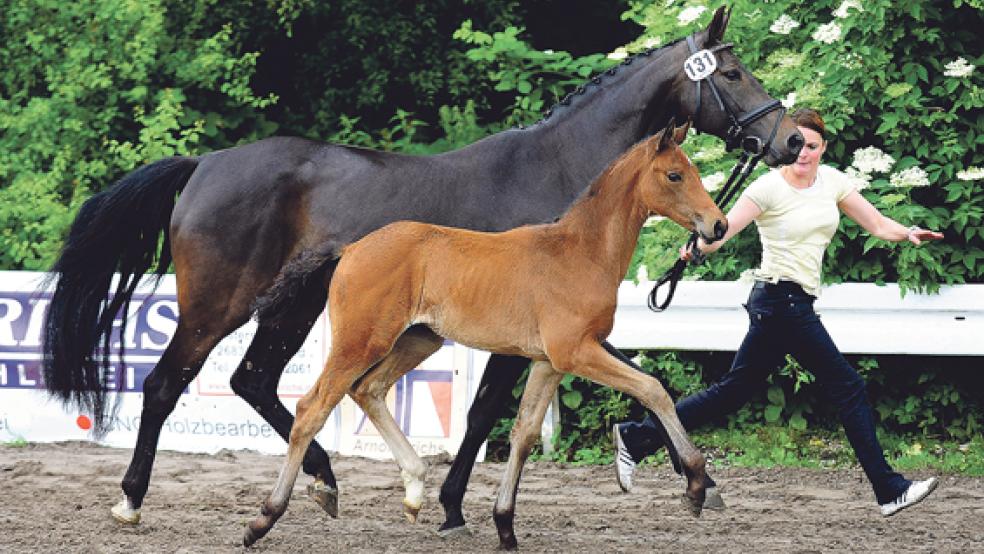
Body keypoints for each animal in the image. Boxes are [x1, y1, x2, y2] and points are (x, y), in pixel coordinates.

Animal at [242, 118, 728, 544]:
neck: (579, 252)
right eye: (674, 175)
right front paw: (696, 485)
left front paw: (505, 525)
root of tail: (350, 249)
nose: (718, 225)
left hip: (418, 340)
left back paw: (415, 490)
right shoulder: (575, 352)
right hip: (360, 342)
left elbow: (524, 433)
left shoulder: (548, 362)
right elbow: (653, 389)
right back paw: (266, 518)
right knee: (312, 408)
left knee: (368, 390)